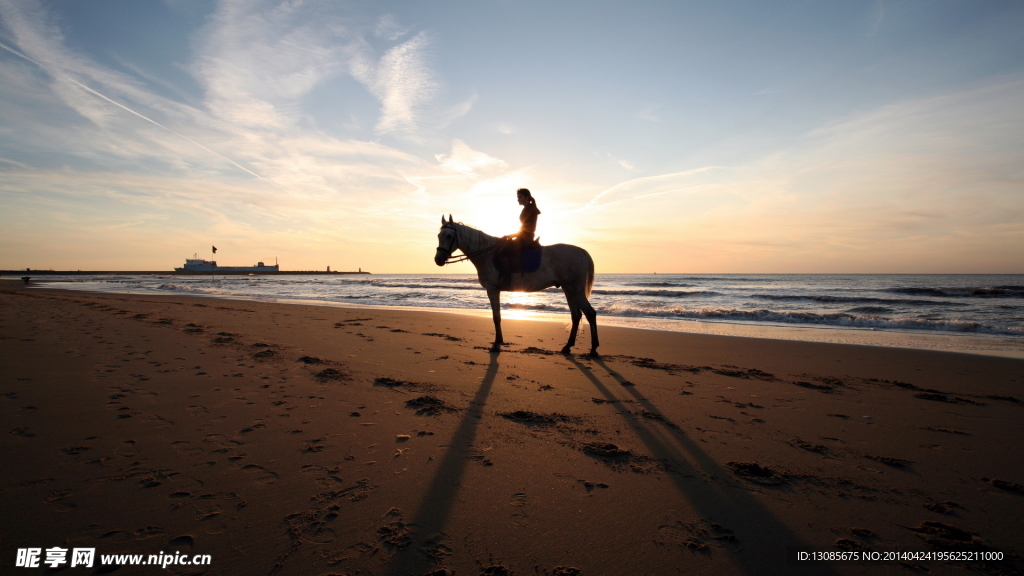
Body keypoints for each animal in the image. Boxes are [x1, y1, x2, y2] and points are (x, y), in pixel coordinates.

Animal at [434, 215, 599, 356]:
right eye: (439, 236)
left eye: (449, 236)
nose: (438, 259)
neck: (487, 254)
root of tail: (582, 251)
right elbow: (497, 316)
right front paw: (499, 341)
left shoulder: (492, 290)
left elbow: (496, 317)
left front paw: (496, 344)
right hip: (568, 289)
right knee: (576, 316)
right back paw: (567, 346)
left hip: (575, 289)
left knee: (590, 313)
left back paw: (593, 349)